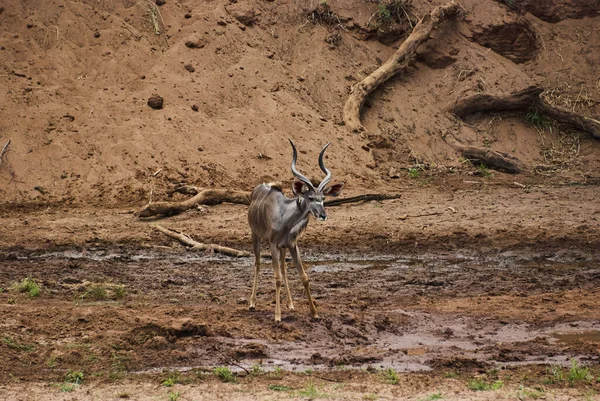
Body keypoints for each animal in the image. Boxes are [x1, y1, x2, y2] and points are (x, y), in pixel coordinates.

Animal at [247, 139, 342, 320]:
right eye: (310, 198)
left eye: (323, 198)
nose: (323, 215)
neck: (285, 216)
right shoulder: (272, 244)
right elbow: (276, 278)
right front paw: (277, 316)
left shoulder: (291, 244)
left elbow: (303, 277)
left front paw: (314, 313)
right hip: (255, 236)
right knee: (257, 263)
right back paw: (252, 303)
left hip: (282, 248)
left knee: (283, 269)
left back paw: (290, 304)